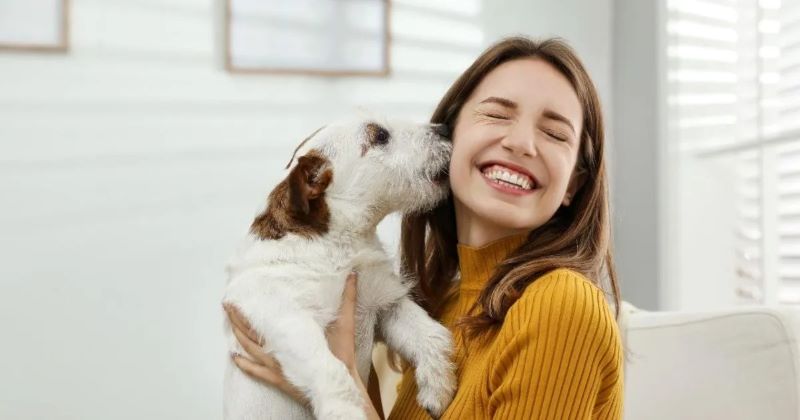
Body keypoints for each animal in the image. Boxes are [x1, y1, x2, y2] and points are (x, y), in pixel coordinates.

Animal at [222, 115, 460, 420]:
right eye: (380, 135)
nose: (444, 129)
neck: (341, 244)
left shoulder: (385, 305)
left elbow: (432, 335)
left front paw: (437, 387)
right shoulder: (285, 316)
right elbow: (332, 370)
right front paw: (345, 410)